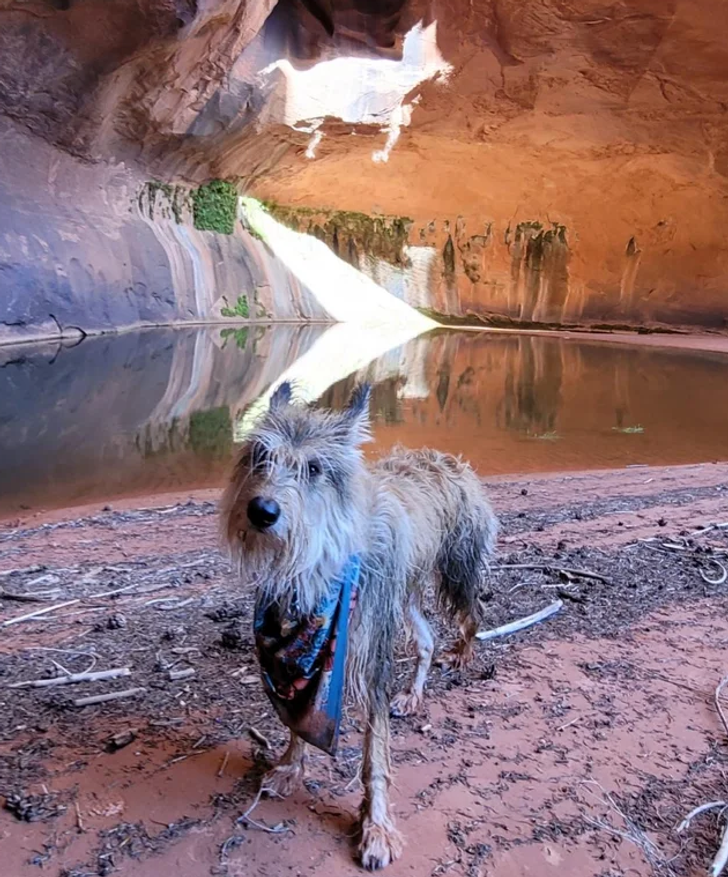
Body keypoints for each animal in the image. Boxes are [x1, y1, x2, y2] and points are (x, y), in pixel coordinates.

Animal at [219, 382, 498, 868]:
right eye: (259, 456)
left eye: (314, 468)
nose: (262, 511)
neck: (321, 556)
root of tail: (451, 460)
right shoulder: (302, 664)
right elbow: (298, 719)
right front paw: (290, 768)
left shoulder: (370, 659)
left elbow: (375, 757)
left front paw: (376, 827)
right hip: (402, 597)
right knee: (426, 639)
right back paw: (412, 694)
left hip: (455, 572)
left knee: (470, 617)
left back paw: (463, 654)